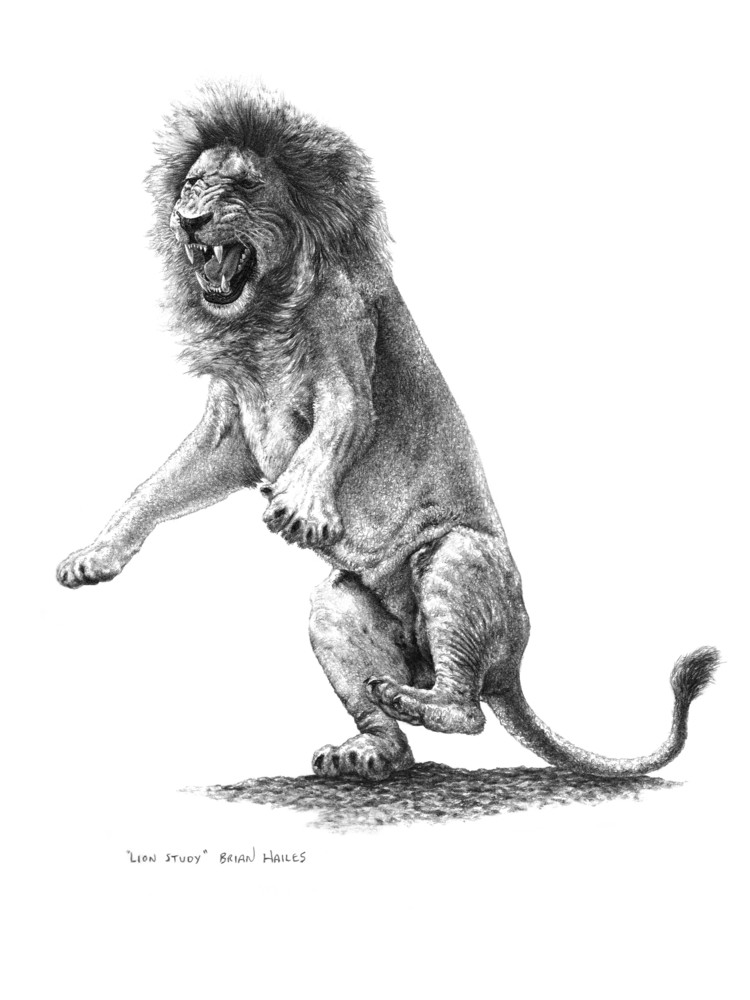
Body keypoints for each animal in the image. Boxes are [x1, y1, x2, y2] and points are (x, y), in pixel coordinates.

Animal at [56, 83, 718, 781]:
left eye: (240, 187)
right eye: (190, 186)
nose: (188, 221)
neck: (262, 316)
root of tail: (509, 668)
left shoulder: (348, 355)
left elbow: (337, 428)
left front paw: (299, 507)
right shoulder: (226, 431)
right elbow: (154, 488)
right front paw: (93, 558)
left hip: (457, 558)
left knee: (468, 712)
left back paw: (414, 700)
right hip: (335, 607)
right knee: (394, 711)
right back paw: (368, 747)